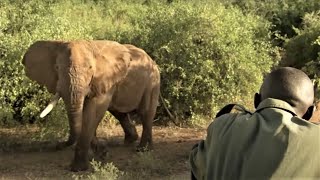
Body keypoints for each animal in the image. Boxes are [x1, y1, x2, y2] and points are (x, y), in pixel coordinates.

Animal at [21, 40, 160, 171]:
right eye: (56, 67)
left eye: (90, 68)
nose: (57, 146)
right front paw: (102, 153)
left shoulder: (104, 78)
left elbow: (94, 111)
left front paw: (78, 168)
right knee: (118, 112)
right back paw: (129, 141)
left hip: (153, 81)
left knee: (146, 112)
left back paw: (143, 150)